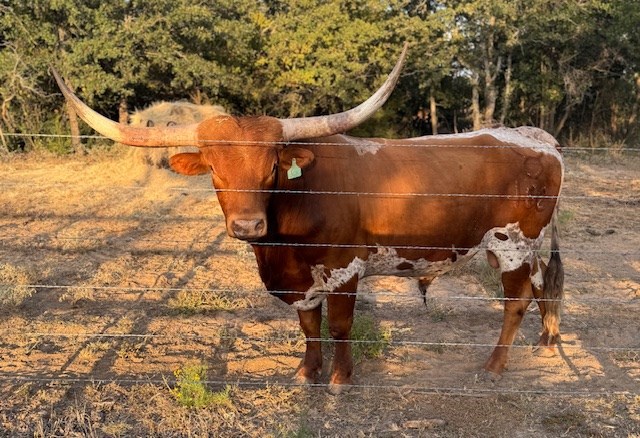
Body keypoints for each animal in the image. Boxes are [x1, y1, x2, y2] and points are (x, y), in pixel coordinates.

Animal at [52, 46, 564, 394]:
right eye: (214, 169)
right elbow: (307, 323)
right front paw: (305, 373)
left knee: (516, 301)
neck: (281, 241)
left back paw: (494, 367)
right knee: (544, 286)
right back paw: (547, 341)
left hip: (512, 245)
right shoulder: (299, 278)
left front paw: (340, 379)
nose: (247, 227)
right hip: (524, 249)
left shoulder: (344, 269)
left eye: (272, 168)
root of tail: (537, 138)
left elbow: (337, 325)